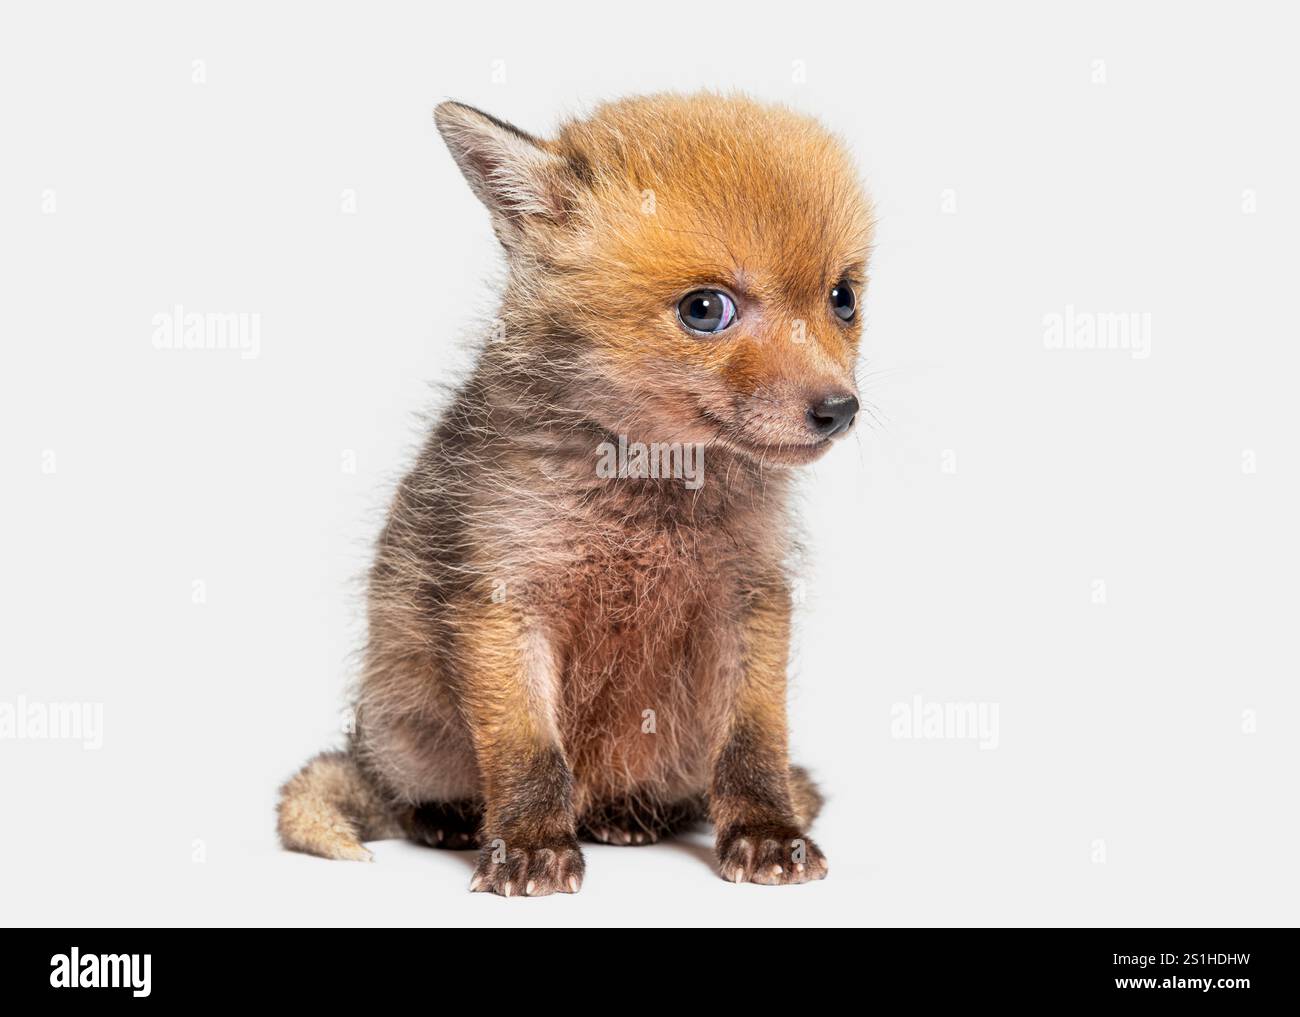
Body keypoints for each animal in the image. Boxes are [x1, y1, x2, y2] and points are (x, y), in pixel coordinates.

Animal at [277, 92, 874, 896]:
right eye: (705, 309)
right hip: (406, 734)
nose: (840, 410)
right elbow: (528, 751)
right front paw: (530, 845)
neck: (649, 495)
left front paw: (767, 833)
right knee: (408, 795)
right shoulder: (504, 599)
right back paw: (453, 818)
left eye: (842, 298)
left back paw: (631, 815)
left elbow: (755, 745)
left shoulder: (751, 596)